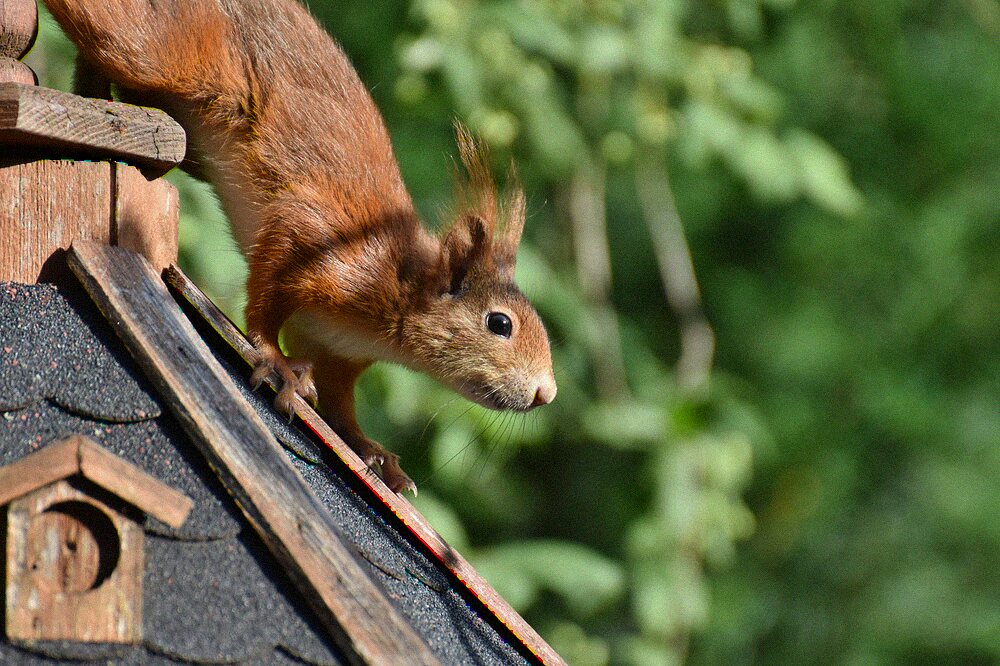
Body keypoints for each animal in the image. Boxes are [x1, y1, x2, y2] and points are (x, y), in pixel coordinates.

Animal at [42, 0, 556, 494]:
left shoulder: (337, 351)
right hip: (159, 51)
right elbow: (268, 293)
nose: (546, 394)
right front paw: (276, 362)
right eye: (500, 323)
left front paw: (375, 454)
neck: (396, 284)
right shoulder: (316, 241)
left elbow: (339, 406)